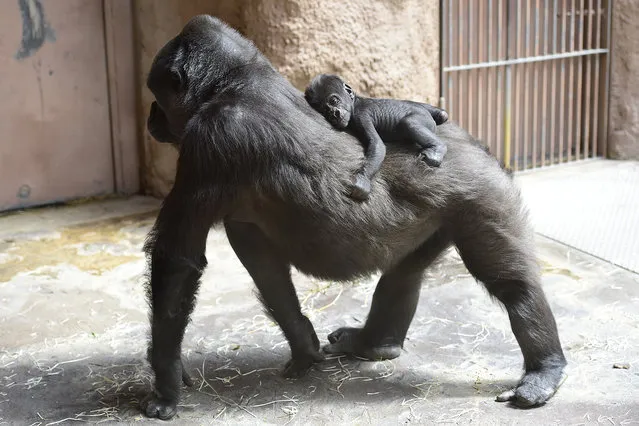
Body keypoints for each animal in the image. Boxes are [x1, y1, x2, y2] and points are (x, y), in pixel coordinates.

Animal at [306, 74, 448, 201]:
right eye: (324, 110)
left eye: (333, 101)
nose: (333, 113)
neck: (355, 102)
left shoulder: (361, 116)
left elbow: (376, 143)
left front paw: (362, 180)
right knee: (438, 113)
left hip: (423, 118)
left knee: (409, 123)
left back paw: (437, 149)